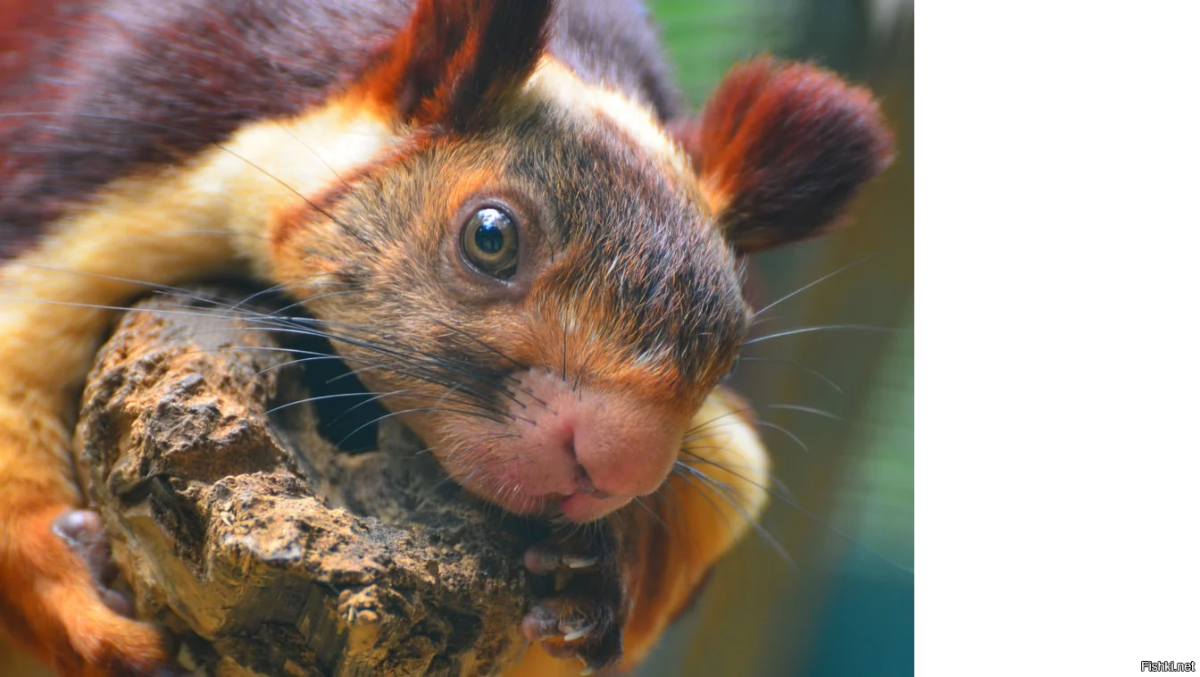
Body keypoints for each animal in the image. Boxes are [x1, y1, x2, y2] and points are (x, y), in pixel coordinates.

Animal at [0, 0, 894, 674]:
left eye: (733, 334)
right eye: (490, 236)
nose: (616, 467)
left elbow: (725, 491)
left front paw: (603, 569)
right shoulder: (114, 173)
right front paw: (76, 594)